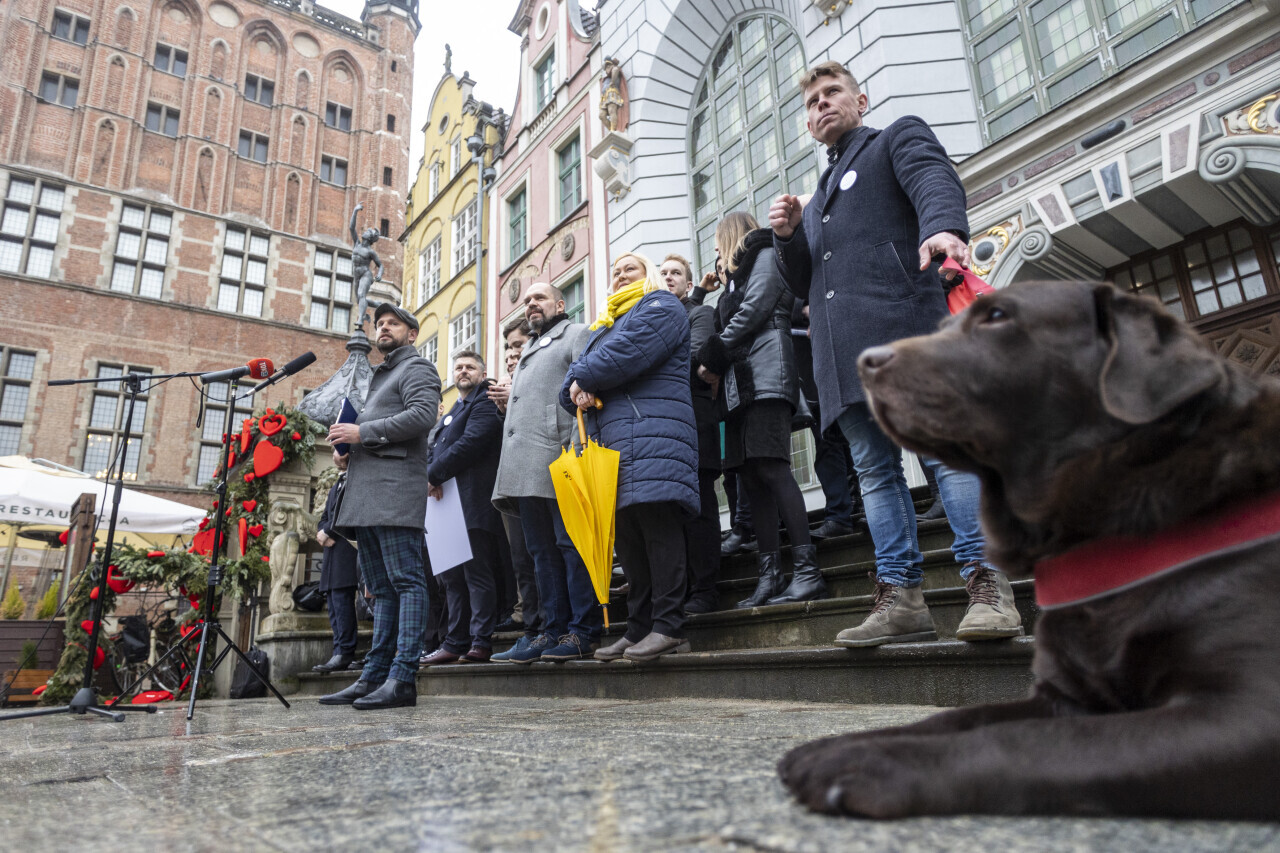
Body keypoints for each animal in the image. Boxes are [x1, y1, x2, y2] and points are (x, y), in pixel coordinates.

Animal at [778, 281, 1280, 819]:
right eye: (943, 325)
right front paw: (844, 743)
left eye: (997, 316)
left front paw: (869, 763)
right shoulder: (1060, 697)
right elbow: (955, 718)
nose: (864, 362)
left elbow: (1023, 741)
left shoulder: (1248, 713)